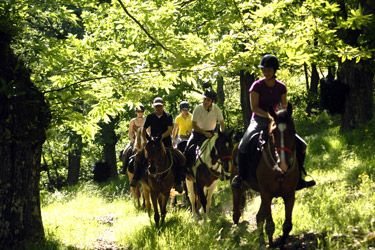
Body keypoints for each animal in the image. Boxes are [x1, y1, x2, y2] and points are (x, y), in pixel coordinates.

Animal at [232, 103, 300, 248]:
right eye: (273, 134)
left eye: (292, 131)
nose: (284, 163)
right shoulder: (267, 194)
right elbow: (270, 225)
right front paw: (271, 244)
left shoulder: (289, 194)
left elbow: (287, 225)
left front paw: (281, 244)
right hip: (241, 186)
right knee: (237, 200)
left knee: (258, 217)